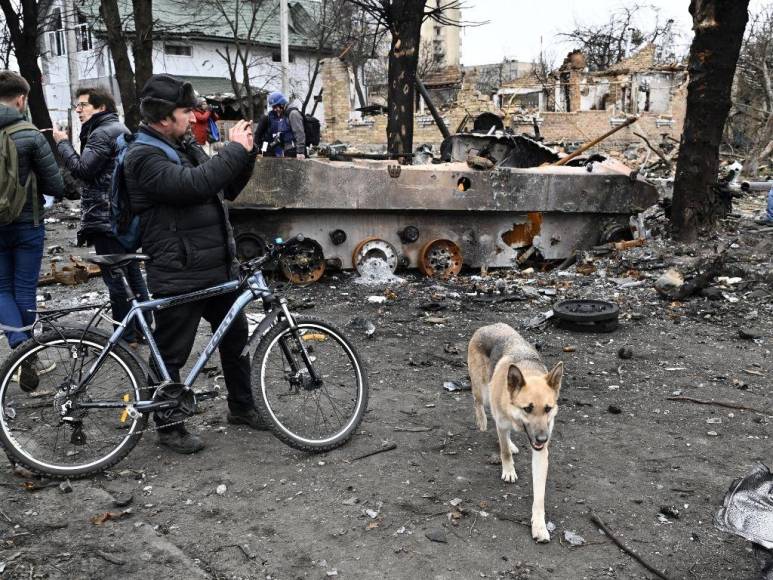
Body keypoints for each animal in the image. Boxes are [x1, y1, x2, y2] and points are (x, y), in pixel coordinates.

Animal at [468, 324, 564, 540]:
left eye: (548, 408)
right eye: (528, 408)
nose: (542, 439)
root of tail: (488, 326)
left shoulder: (540, 452)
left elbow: (539, 494)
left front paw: (539, 525)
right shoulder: (503, 424)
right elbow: (504, 452)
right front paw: (509, 470)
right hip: (482, 391)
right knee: (478, 402)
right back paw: (482, 420)